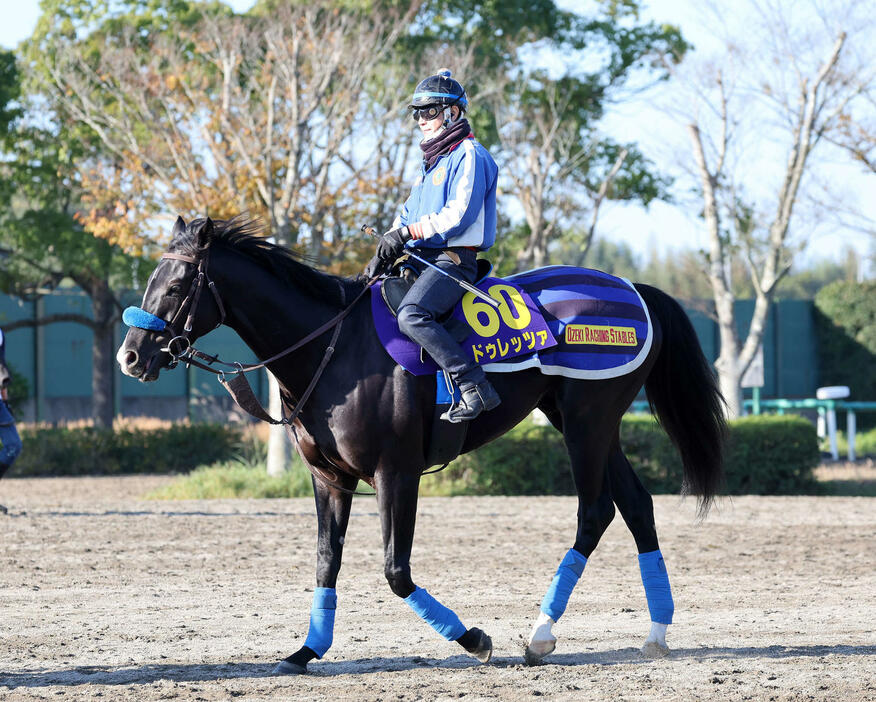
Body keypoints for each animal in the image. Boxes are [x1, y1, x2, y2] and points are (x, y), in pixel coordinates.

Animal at [116, 216, 724, 676]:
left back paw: (541, 634)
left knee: (595, 512)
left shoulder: (396, 473)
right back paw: (656, 633)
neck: (335, 348)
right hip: (590, 422)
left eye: (175, 286)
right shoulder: (329, 479)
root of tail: (634, 290)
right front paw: (307, 649)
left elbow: (396, 571)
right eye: (149, 280)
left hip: (585, 422)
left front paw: (473, 638)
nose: (131, 356)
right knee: (637, 506)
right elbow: (326, 561)